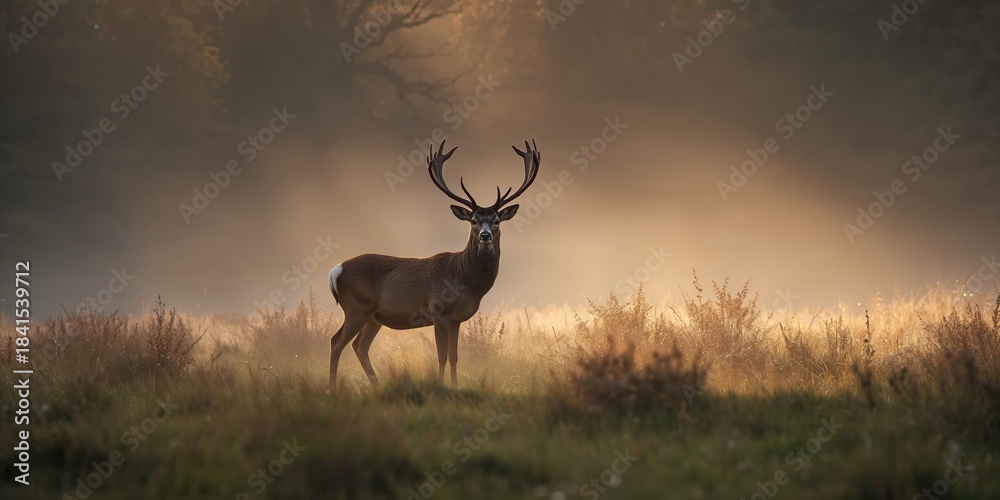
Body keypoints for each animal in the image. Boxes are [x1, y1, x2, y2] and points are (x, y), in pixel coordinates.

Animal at [327, 139, 540, 388]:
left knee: (359, 346)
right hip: (356, 307)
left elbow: (455, 357)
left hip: (373, 316)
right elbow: (441, 355)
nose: (485, 235)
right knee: (336, 342)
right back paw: (332, 388)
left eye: (496, 220)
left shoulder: (457, 319)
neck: (466, 281)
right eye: (474, 220)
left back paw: (376, 386)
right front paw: (441, 385)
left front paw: (456, 387)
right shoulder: (438, 310)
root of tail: (335, 271)